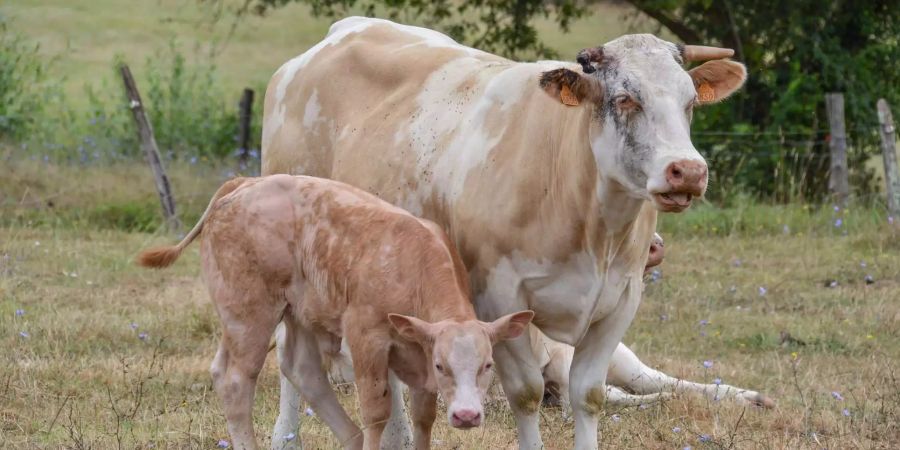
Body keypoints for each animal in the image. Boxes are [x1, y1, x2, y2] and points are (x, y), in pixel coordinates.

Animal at [135, 176, 536, 450]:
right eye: (442, 365)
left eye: (487, 365)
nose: (467, 416)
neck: (412, 264)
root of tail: (244, 183)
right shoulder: (367, 336)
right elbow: (376, 410)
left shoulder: (418, 352)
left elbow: (424, 417)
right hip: (248, 315)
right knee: (235, 380)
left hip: (293, 312)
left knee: (299, 369)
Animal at [260, 15, 760, 448]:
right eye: (625, 99)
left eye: (690, 102)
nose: (688, 171)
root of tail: (345, 30)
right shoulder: (499, 298)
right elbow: (527, 393)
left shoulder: (622, 299)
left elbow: (589, 395)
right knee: (291, 354)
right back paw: (286, 438)